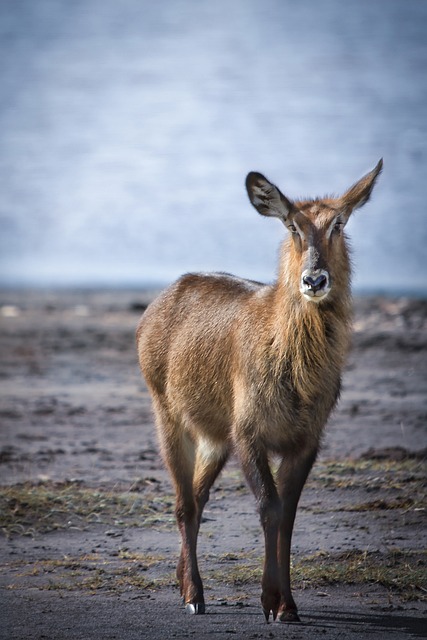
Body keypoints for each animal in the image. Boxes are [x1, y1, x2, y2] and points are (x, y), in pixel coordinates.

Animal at [138, 161, 384, 624]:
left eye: (339, 224)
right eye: (292, 226)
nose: (314, 279)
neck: (298, 373)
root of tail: (162, 299)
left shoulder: (305, 441)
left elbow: (287, 515)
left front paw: (288, 605)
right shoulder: (248, 432)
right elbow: (269, 508)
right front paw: (270, 600)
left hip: (215, 436)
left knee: (198, 497)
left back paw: (184, 580)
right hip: (169, 416)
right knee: (183, 504)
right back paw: (194, 595)